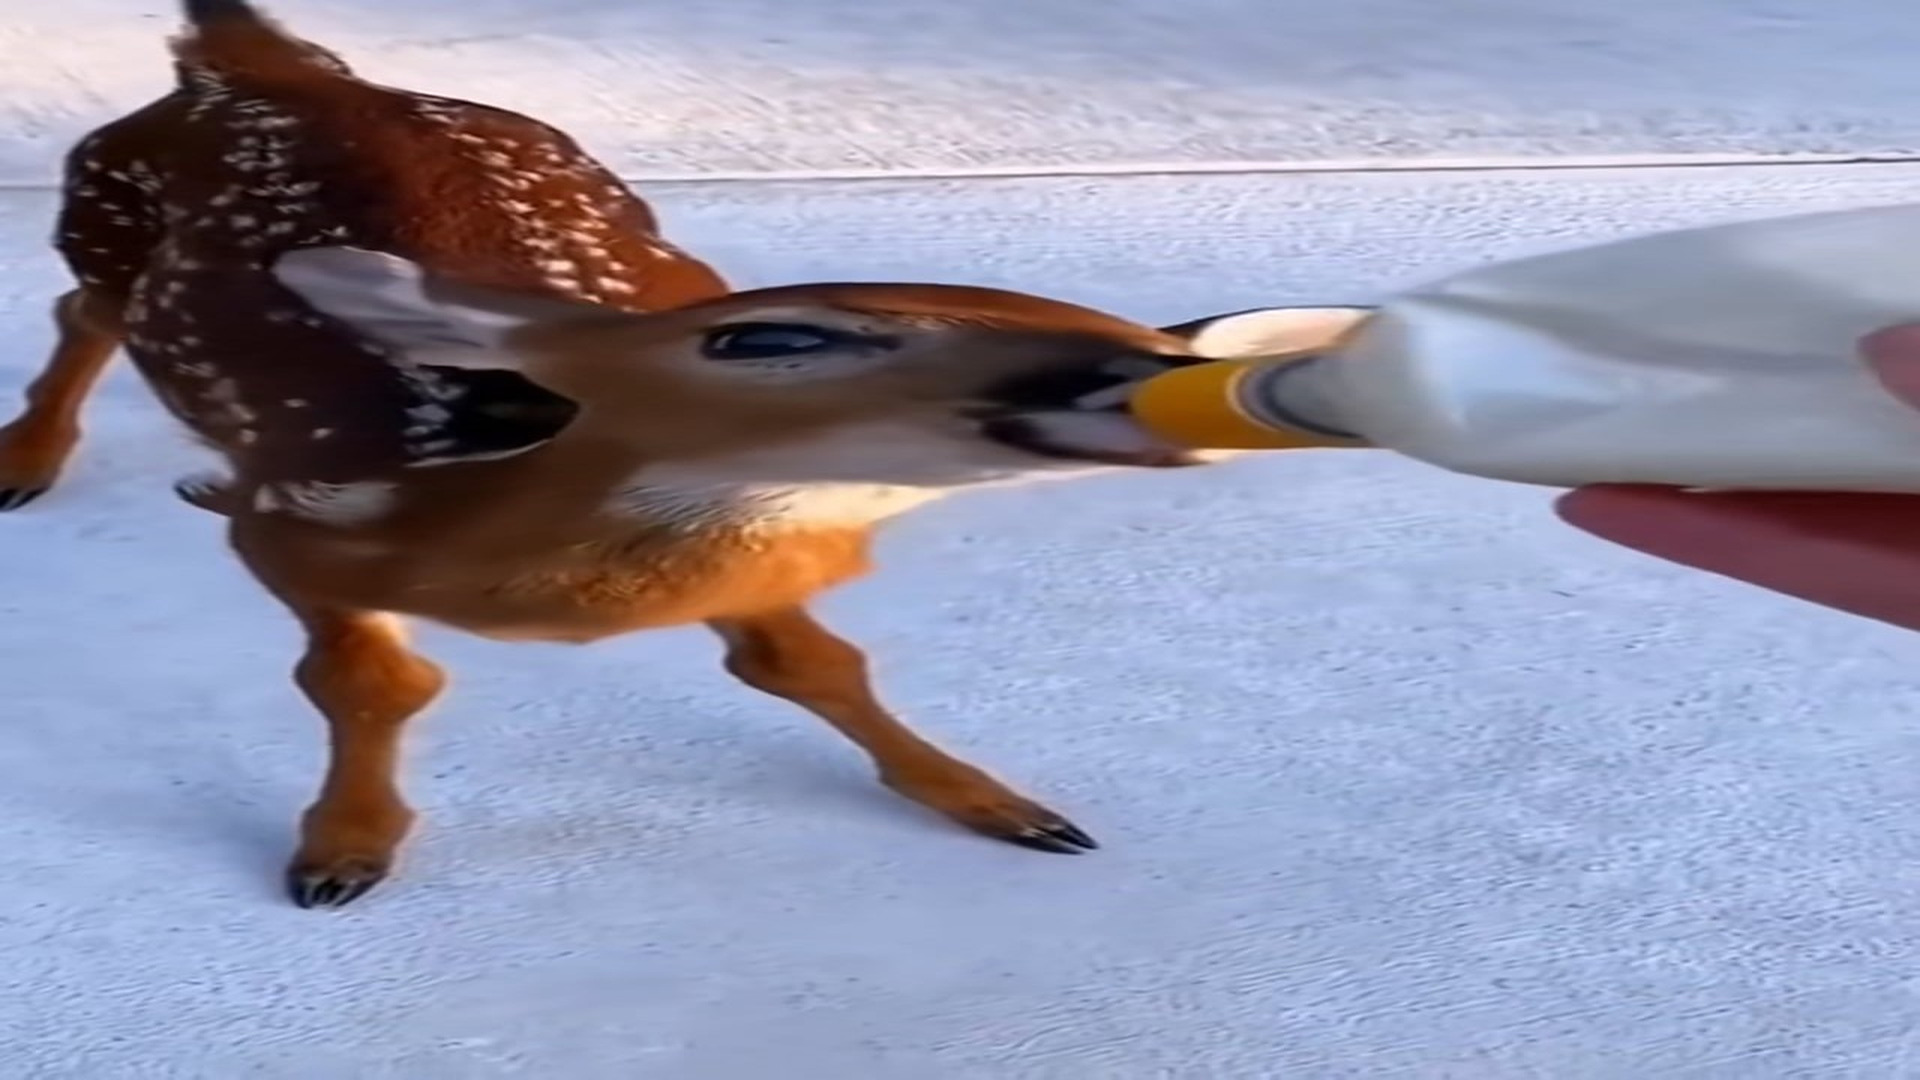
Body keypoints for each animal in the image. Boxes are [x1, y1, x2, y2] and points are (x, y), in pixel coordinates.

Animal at [0, 0, 1356, 907]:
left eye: (1138, 333)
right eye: (772, 334)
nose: (1132, 377)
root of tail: (254, 61)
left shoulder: (768, 563)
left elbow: (809, 663)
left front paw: (1000, 805)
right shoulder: (288, 522)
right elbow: (369, 681)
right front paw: (343, 848)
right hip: (101, 216)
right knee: (81, 311)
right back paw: (28, 459)